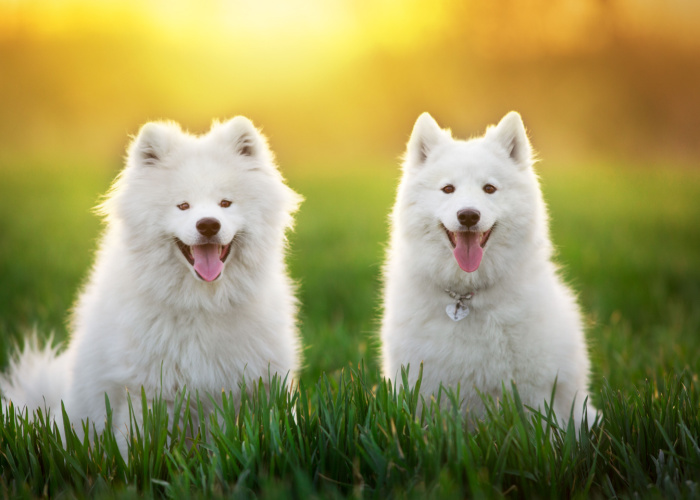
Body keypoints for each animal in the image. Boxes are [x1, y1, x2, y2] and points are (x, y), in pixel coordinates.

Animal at [380, 111, 600, 428]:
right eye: (448, 189)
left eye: (489, 189)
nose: (468, 215)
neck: (466, 296)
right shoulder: (422, 387)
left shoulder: (534, 392)